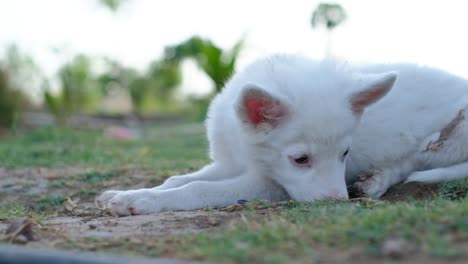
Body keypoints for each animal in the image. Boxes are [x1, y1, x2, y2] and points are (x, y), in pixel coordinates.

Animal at [96, 54, 468, 216]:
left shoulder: (270, 184)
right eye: (300, 159)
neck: (249, 151)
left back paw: (376, 180)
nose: (336, 204)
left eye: (345, 154)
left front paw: (144, 201)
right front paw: (127, 193)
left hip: (445, 139)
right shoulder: (230, 162)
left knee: (409, 164)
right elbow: (179, 179)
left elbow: (198, 189)